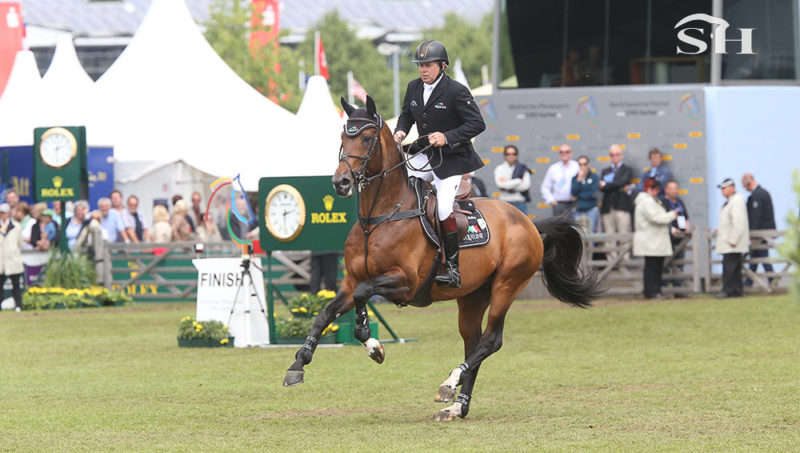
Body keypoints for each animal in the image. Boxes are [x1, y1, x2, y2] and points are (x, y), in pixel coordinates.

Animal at [283, 95, 603, 421]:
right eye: (342, 137)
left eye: (367, 138)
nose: (342, 182)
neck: (380, 217)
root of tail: (528, 222)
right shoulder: (351, 281)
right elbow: (325, 313)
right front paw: (298, 364)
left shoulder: (405, 283)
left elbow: (363, 295)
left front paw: (373, 345)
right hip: (473, 297)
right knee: (474, 343)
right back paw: (457, 406)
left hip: (507, 284)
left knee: (491, 339)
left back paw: (450, 382)